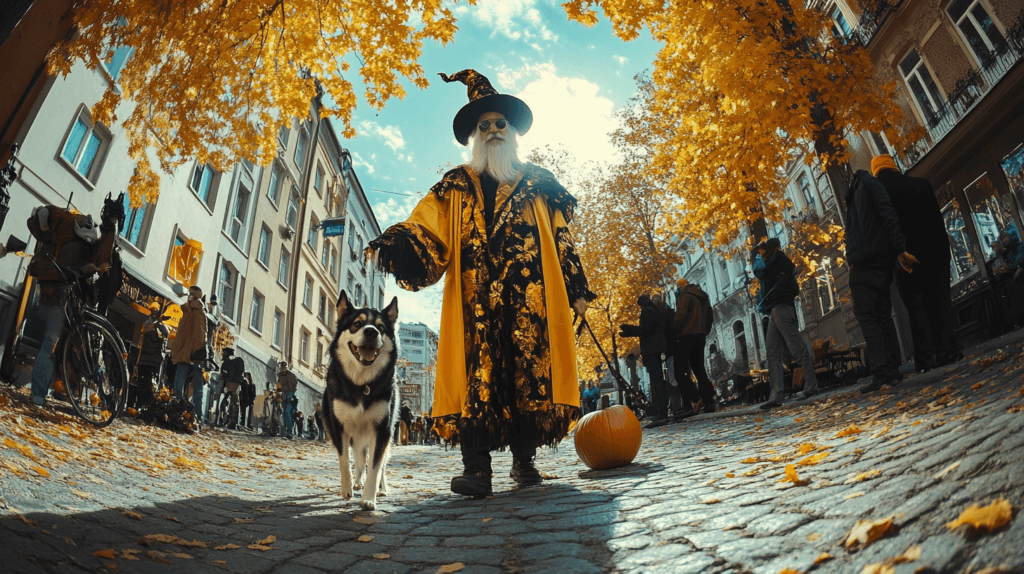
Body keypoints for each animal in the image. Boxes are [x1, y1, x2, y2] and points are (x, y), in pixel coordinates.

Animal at [321, 288, 397, 507]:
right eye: (357, 324)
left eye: (381, 327)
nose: (371, 332)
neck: (362, 384)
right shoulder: (339, 427)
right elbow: (345, 459)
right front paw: (347, 489)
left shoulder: (381, 430)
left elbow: (376, 466)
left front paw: (369, 498)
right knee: (358, 457)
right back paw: (356, 482)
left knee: (378, 463)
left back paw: (382, 489)